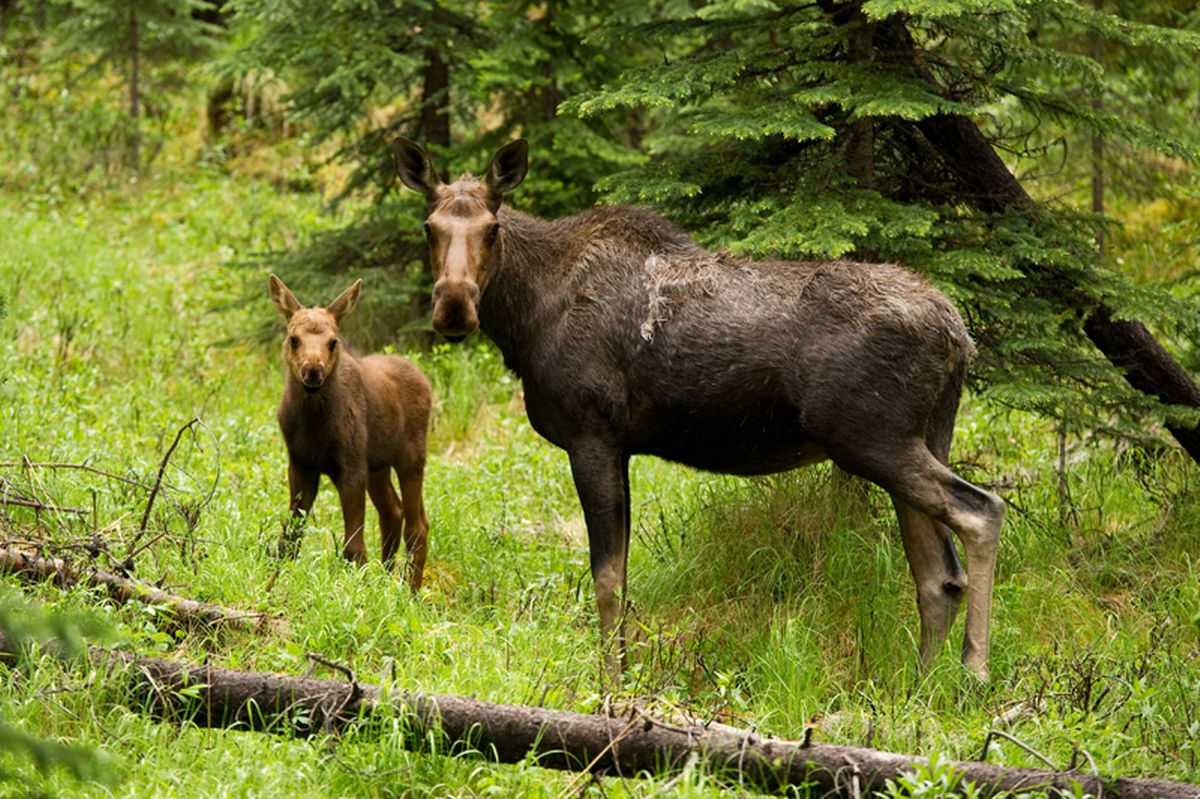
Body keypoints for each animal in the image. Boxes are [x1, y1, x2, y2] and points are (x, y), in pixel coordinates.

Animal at [269, 274, 432, 590]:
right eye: (294, 339)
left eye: (333, 342)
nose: (313, 370)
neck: (313, 425)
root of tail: (425, 379)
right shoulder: (300, 464)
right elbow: (290, 538)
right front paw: (270, 588)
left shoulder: (351, 464)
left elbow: (353, 546)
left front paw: (359, 592)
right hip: (378, 466)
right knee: (393, 512)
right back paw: (387, 582)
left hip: (411, 457)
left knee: (418, 525)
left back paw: (409, 592)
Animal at [393, 138, 1005, 678]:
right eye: (428, 227)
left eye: (492, 229)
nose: (453, 306)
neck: (526, 321)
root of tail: (959, 334)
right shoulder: (621, 448)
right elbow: (620, 576)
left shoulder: (592, 435)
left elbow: (607, 580)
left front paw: (611, 686)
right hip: (921, 435)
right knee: (937, 576)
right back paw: (918, 690)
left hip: (872, 438)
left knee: (982, 511)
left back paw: (973, 671)